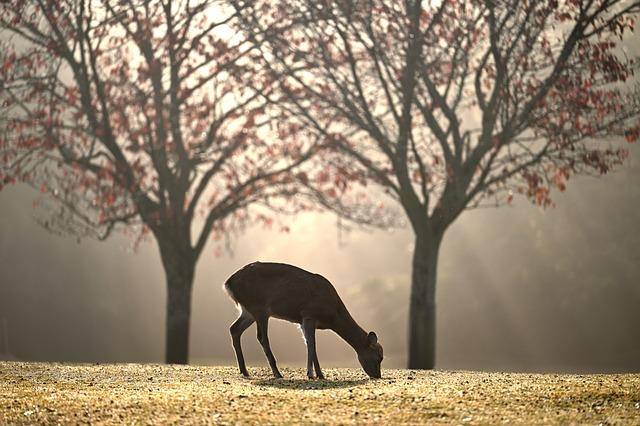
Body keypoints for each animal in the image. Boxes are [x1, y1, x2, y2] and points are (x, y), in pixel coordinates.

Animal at [225, 262, 382, 380]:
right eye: (379, 356)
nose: (377, 375)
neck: (333, 315)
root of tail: (228, 283)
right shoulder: (309, 314)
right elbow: (312, 344)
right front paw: (313, 374)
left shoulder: (302, 321)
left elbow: (308, 343)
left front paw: (317, 374)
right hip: (260, 307)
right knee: (261, 337)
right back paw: (277, 373)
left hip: (248, 311)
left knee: (234, 328)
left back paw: (244, 371)